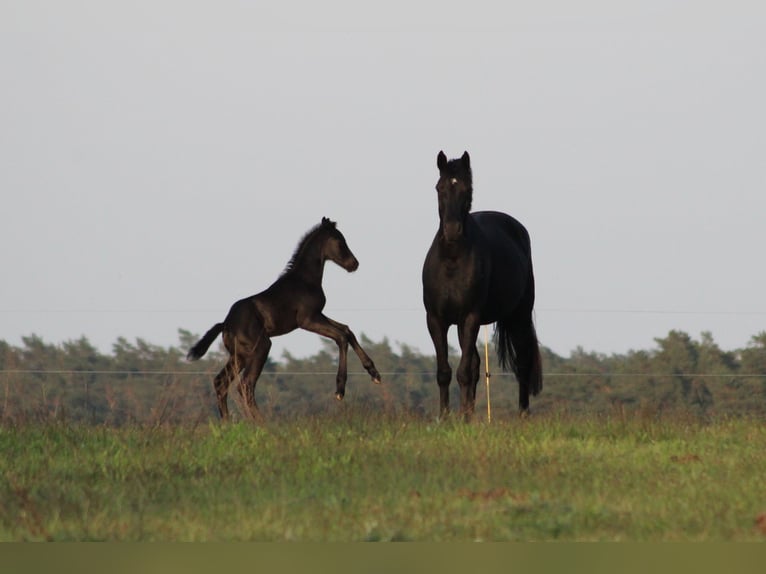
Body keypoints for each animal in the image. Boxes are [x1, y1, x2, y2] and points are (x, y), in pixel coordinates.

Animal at [188, 218, 382, 420]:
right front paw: (340, 390)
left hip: (238, 355)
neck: (305, 280)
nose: (354, 264)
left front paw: (374, 374)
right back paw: (261, 422)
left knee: (221, 383)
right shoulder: (307, 319)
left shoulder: (318, 315)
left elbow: (346, 330)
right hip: (261, 347)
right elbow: (341, 337)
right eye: (339, 240)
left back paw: (228, 422)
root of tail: (225, 325)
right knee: (245, 384)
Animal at [424, 153, 544, 418]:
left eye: (466, 189)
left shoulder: (471, 317)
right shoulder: (436, 320)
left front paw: (460, 418)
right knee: (476, 365)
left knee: (522, 362)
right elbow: (445, 372)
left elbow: (463, 372)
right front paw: (445, 417)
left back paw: (523, 414)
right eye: (439, 188)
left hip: (519, 316)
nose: (452, 230)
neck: (452, 260)